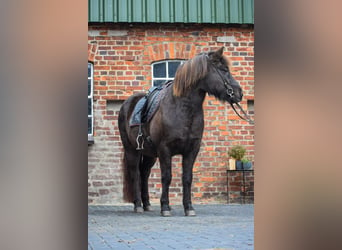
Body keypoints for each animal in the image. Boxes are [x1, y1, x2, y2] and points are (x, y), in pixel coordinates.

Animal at [117, 47, 243, 217]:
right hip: (132, 150)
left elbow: (187, 178)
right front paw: (165, 207)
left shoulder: (192, 150)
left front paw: (188, 207)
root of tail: (127, 104)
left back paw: (147, 204)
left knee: (144, 173)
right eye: (224, 70)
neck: (182, 109)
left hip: (150, 154)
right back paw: (138, 205)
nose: (240, 93)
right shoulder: (164, 149)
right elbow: (167, 177)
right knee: (135, 174)